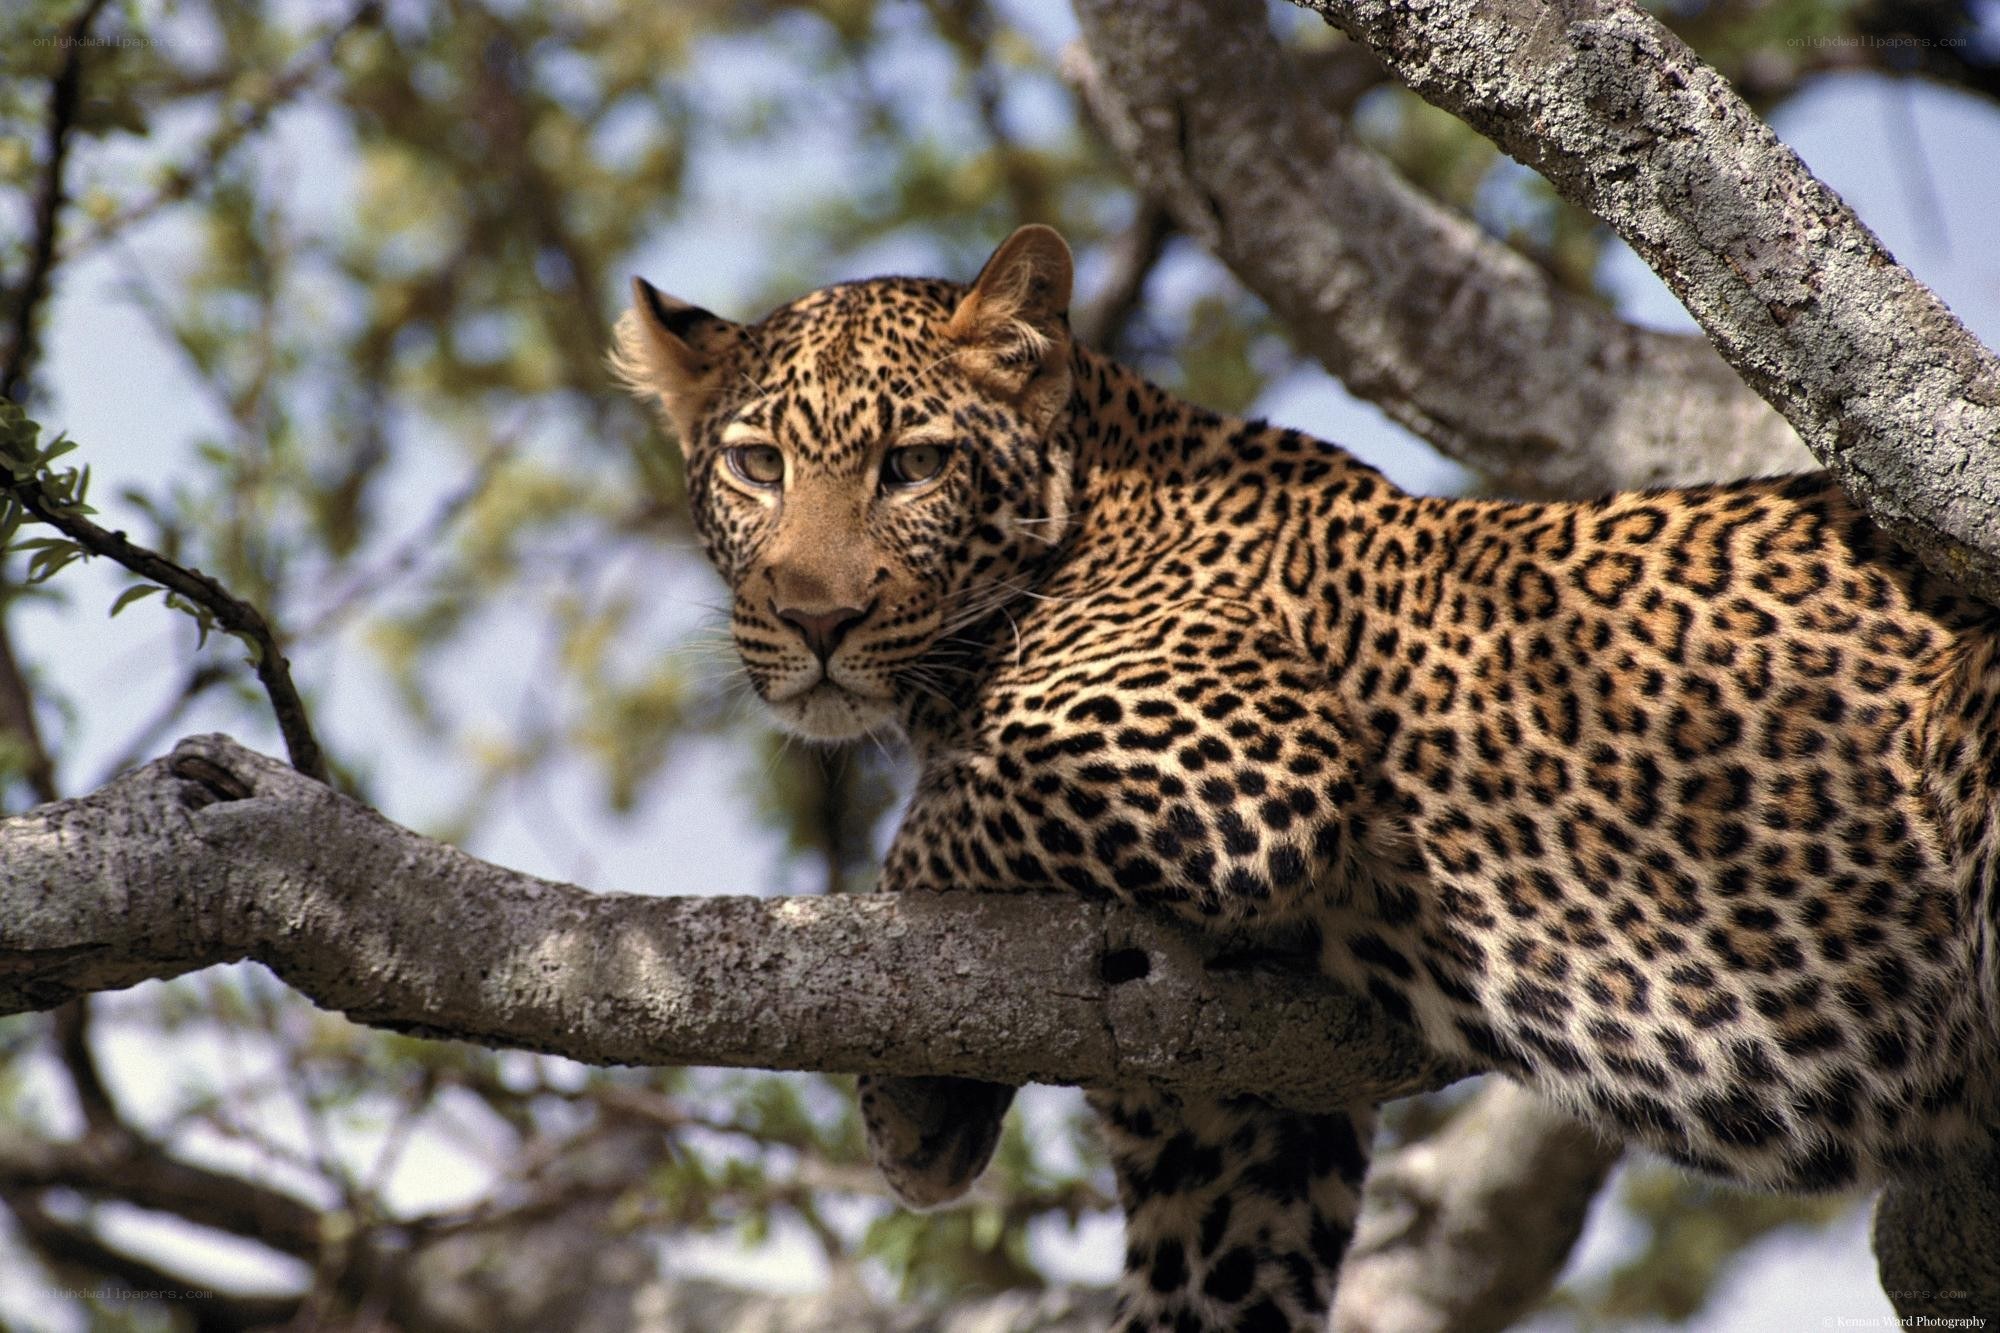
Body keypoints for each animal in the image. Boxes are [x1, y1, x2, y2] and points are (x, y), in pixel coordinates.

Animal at [612, 224, 2000, 1331]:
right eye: (755, 466)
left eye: (911, 465)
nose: (814, 618)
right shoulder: (1233, 1127)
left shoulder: (1243, 759)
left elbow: (947, 812)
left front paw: (906, 1095)